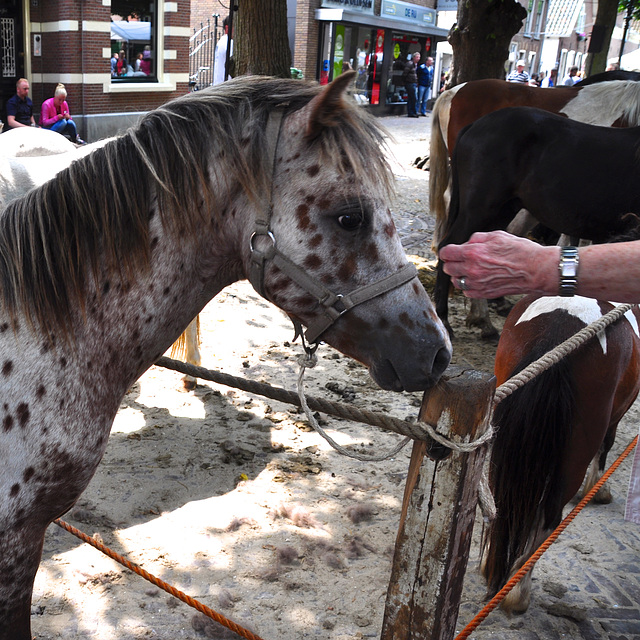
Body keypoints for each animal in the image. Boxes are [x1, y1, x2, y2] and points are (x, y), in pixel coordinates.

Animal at [484, 298, 640, 612]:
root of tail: (556, 332)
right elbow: (606, 446)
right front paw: (599, 490)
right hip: (573, 459)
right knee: (549, 520)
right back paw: (517, 592)